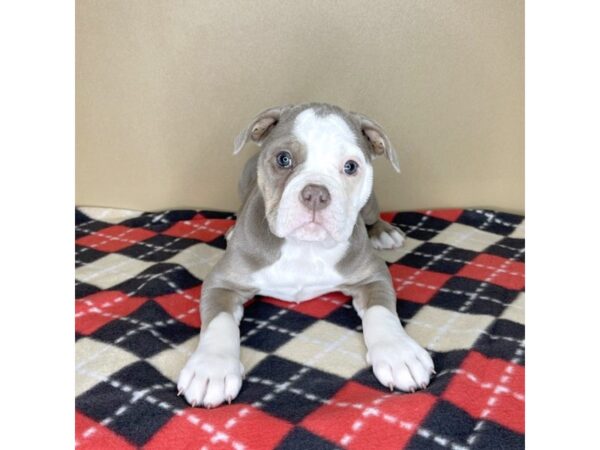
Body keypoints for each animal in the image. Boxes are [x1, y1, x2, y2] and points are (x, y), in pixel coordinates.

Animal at [176, 103, 434, 408]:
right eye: (283, 159)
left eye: (350, 166)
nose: (315, 194)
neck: (304, 248)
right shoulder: (221, 282)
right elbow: (219, 322)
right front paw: (211, 368)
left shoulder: (374, 276)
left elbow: (381, 312)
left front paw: (399, 352)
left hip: (370, 204)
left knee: (373, 215)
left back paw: (384, 232)